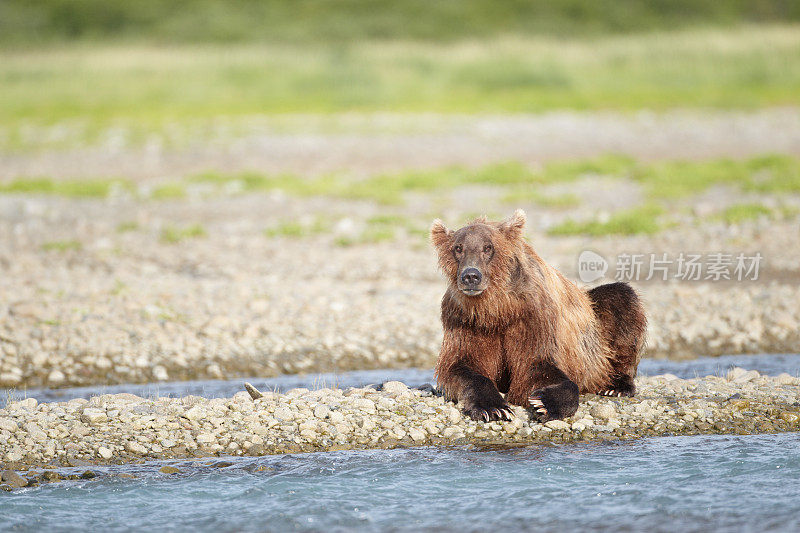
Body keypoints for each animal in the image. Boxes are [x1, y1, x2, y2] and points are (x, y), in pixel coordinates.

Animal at [428, 210, 648, 422]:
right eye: (458, 248)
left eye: (488, 247)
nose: (471, 276)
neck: (498, 308)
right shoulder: (466, 321)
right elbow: (461, 366)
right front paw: (493, 408)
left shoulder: (533, 317)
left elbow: (536, 366)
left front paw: (544, 403)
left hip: (596, 326)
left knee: (622, 299)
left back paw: (616, 386)